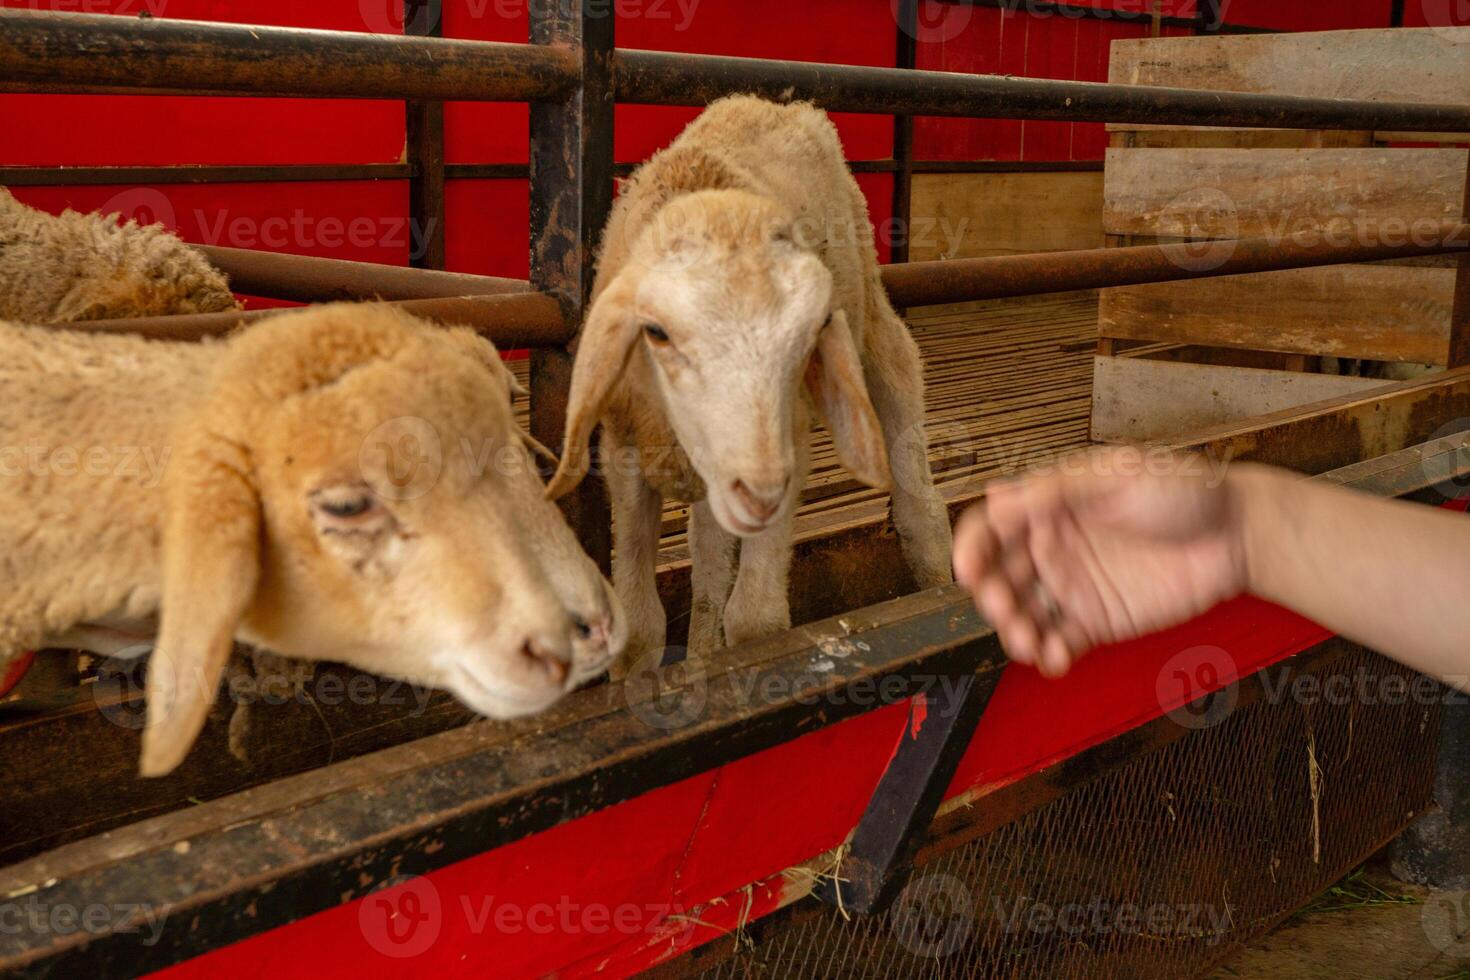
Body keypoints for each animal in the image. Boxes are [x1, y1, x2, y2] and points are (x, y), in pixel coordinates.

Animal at [549, 95, 952, 669]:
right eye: (663, 331)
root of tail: (776, 103)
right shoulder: (626, 449)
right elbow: (644, 623)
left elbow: (756, 619)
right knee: (709, 552)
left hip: (866, 293)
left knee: (898, 369)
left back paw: (934, 567)